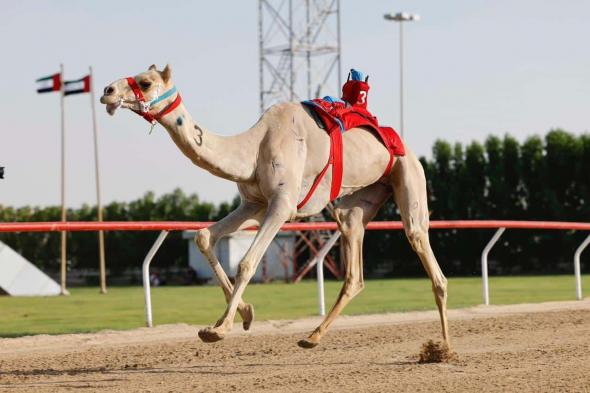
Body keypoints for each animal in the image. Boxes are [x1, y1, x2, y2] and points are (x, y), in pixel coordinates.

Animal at [100, 64, 454, 350]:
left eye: (145, 82)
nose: (107, 91)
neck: (254, 147)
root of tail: (403, 145)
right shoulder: (253, 202)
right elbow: (203, 236)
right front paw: (244, 314)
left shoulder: (282, 205)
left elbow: (246, 263)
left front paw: (219, 329)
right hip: (359, 201)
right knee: (354, 264)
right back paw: (311, 337)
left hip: (408, 176)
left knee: (424, 249)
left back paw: (443, 348)